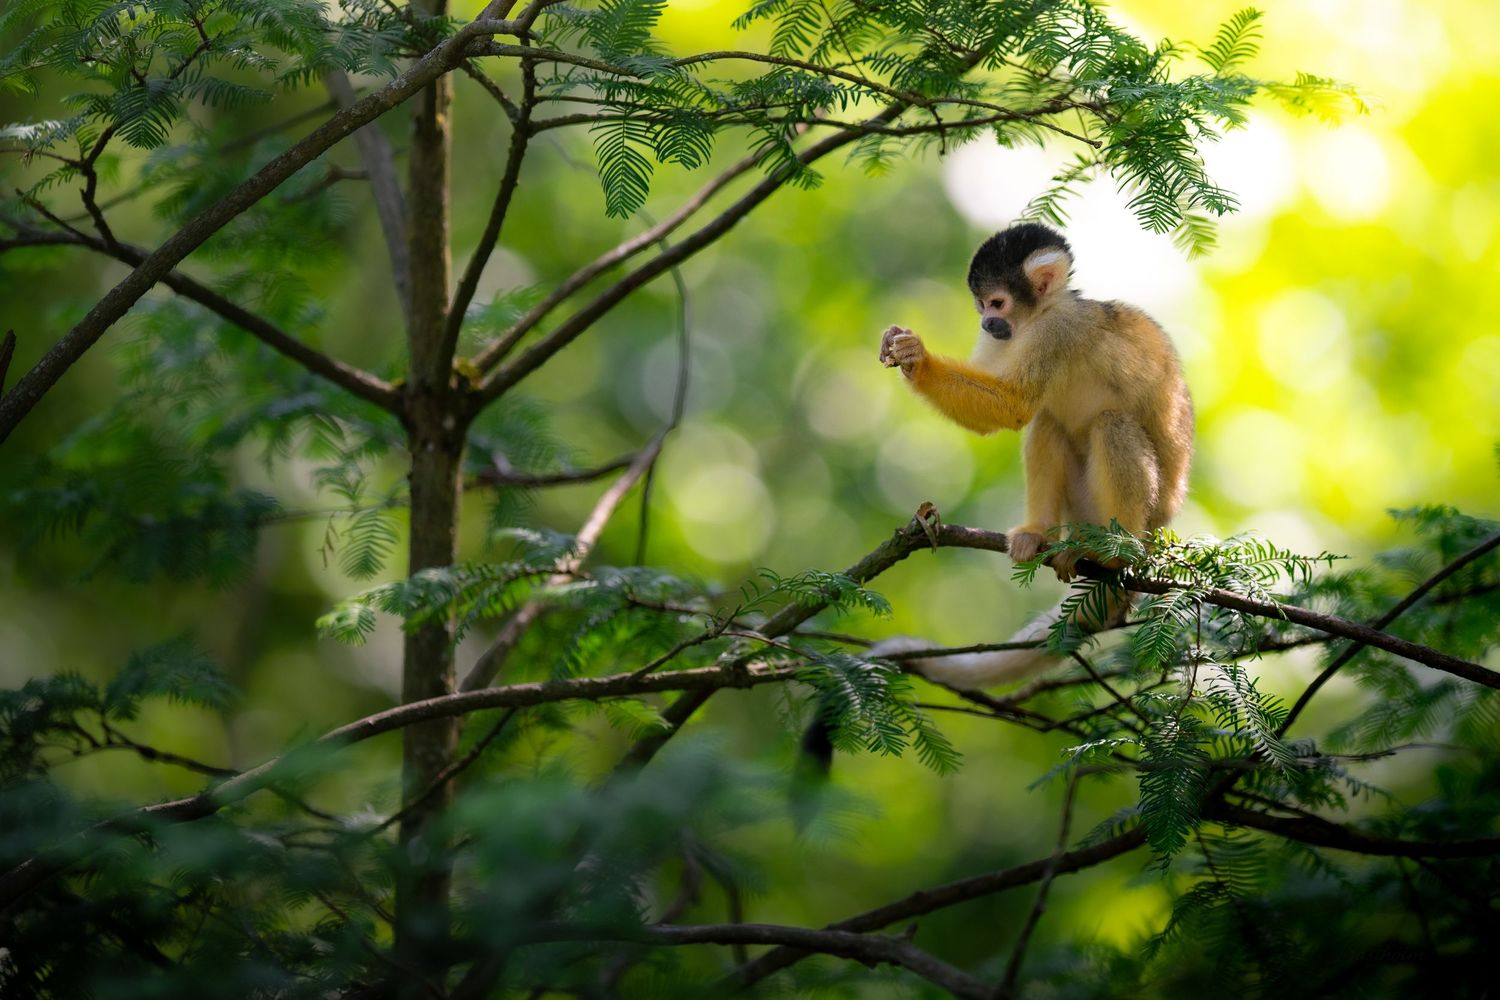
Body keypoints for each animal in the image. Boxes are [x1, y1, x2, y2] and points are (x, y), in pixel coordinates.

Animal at [873, 222, 1194, 689]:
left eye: (997, 303)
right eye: (981, 305)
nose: (987, 321)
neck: (1039, 315)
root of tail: (1159, 532)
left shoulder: (1057, 330)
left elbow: (1013, 405)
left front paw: (918, 357)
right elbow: (1002, 414)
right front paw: (902, 351)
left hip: (1141, 518)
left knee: (1109, 423)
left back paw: (1116, 552)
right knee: (1049, 424)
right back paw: (1039, 533)